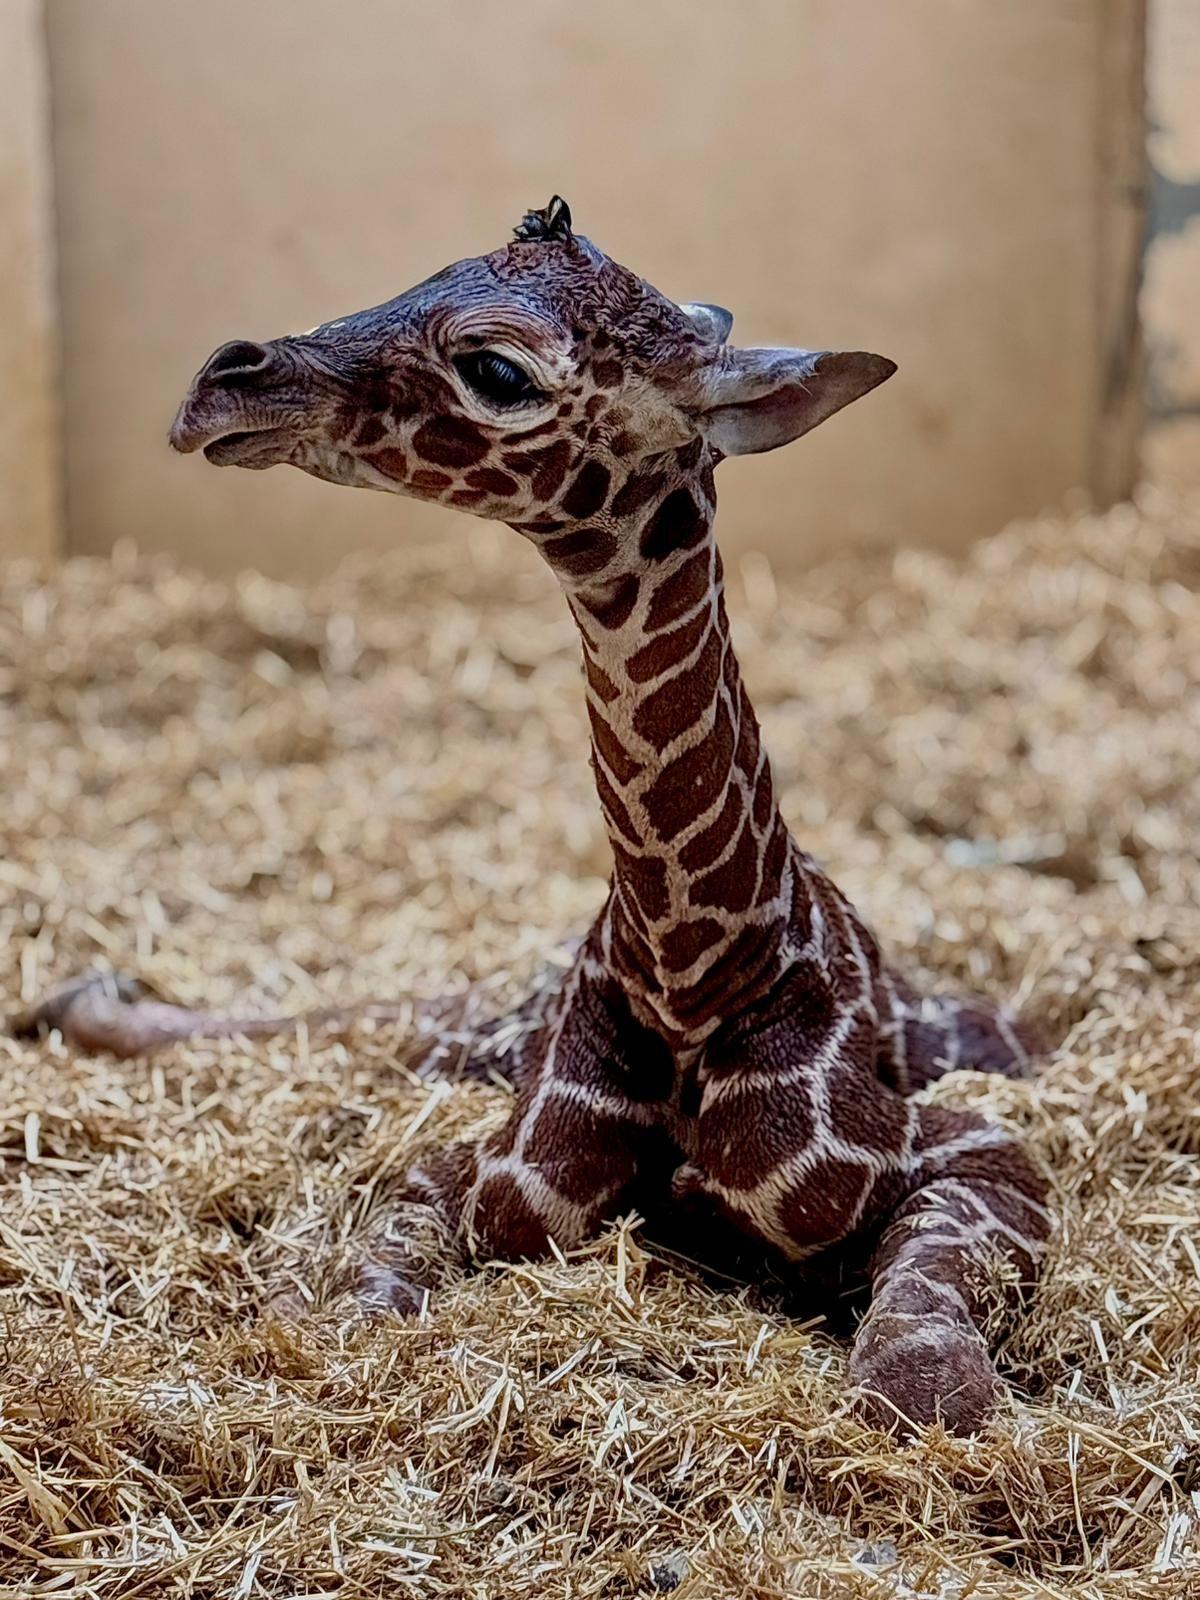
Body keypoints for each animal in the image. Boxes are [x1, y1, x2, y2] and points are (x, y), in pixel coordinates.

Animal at [17, 199, 1050, 1436]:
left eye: (497, 368)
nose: (222, 385)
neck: (693, 964)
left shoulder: (983, 1151)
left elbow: (921, 1351)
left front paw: (942, 1387)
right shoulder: (491, 1174)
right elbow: (375, 1278)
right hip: (484, 1027)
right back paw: (75, 994)